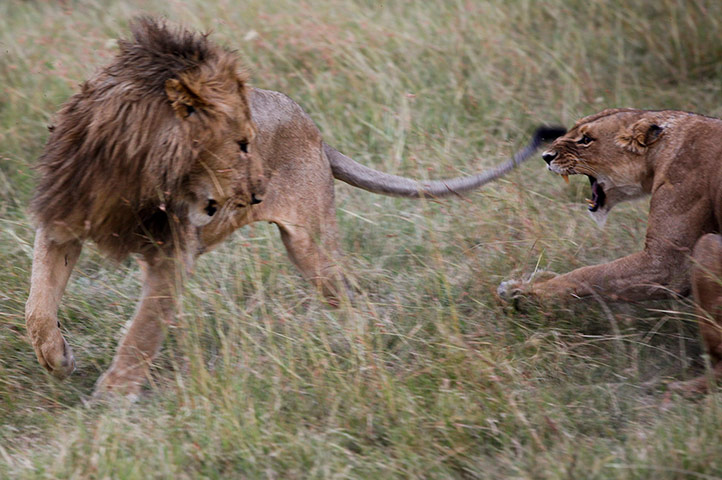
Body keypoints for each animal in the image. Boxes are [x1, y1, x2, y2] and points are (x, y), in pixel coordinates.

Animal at [26, 18, 564, 398]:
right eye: (240, 144)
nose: (257, 193)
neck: (130, 171)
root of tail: (317, 132)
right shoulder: (60, 225)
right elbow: (37, 307)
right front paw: (59, 359)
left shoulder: (171, 255)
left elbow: (142, 329)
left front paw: (113, 396)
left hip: (310, 244)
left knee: (350, 295)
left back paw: (362, 345)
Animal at [498, 108, 722, 394]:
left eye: (586, 140)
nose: (545, 156)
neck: (664, 149)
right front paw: (534, 280)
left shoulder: (666, 264)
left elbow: (589, 274)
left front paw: (525, 293)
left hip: (708, 246)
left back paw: (676, 388)